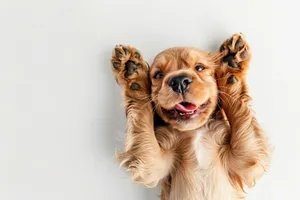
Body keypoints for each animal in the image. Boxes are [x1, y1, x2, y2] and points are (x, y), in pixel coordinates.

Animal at [109, 33, 272, 199]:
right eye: (158, 75)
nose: (179, 81)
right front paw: (133, 75)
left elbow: (241, 120)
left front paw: (231, 69)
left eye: (199, 67)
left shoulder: (245, 158)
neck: (194, 131)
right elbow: (143, 121)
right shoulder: (151, 164)